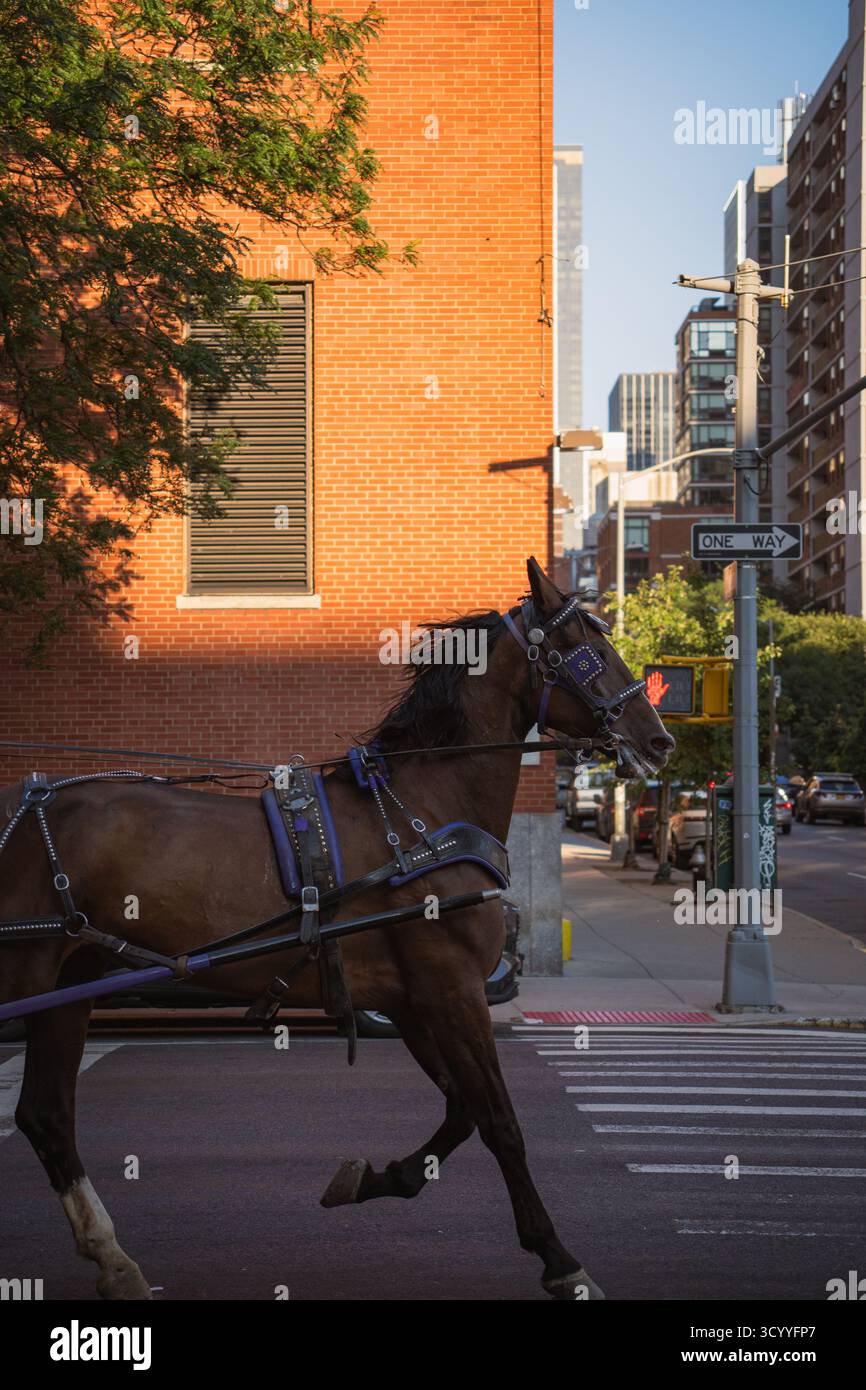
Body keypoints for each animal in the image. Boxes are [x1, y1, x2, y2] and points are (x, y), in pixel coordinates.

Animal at [0, 557, 674, 1301]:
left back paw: (115, 1261)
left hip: (72, 980)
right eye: (586, 651)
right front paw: (558, 1258)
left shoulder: (413, 1000)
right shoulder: (452, 990)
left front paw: (374, 1178)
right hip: (28, 969)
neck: (421, 816)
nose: (659, 739)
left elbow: (463, 1111)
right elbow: (500, 1121)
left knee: (46, 1114)